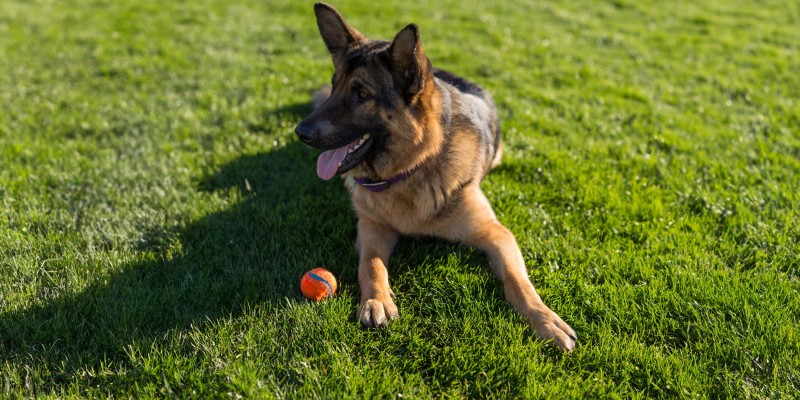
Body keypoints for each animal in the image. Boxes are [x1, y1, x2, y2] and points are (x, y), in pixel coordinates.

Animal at [294, 3, 576, 350]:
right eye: (334, 86)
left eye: (361, 94)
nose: (300, 133)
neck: (412, 171)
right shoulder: (372, 227)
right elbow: (371, 265)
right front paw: (376, 301)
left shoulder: (497, 234)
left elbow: (517, 280)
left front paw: (545, 319)